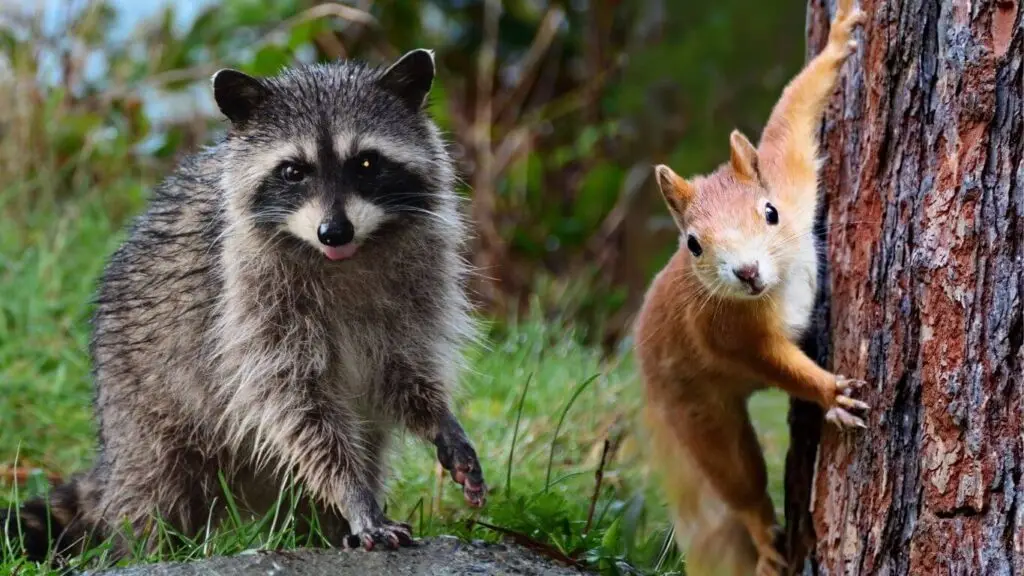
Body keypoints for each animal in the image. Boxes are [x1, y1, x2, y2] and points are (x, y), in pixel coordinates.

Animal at [633, 1, 868, 575]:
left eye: (770, 212)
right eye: (693, 244)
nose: (746, 272)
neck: (776, 286)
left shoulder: (791, 179)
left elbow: (793, 114)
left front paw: (838, 41)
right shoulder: (725, 330)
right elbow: (775, 361)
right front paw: (829, 392)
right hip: (700, 413)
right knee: (739, 483)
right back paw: (765, 540)